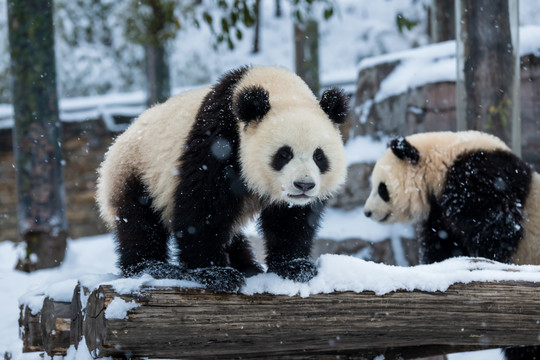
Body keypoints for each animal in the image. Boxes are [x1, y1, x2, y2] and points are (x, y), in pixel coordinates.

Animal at [96, 65, 350, 292]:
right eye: (284, 154)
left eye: (319, 156)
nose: (303, 185)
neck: (275, 86)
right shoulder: (219, 140)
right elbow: (202, 204)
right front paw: (216, 273)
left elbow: (291, 218)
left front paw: (295, 267)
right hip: (137, 170)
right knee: (139, 222)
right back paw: (152, 268)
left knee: (231, 232)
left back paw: (246, 265)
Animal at [362, 131, 540, 266]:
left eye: (381, 189)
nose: (367, 212)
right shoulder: (438, 211)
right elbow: (443, 241)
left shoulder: (480, 179)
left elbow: (497, 226)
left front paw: (488, 257)